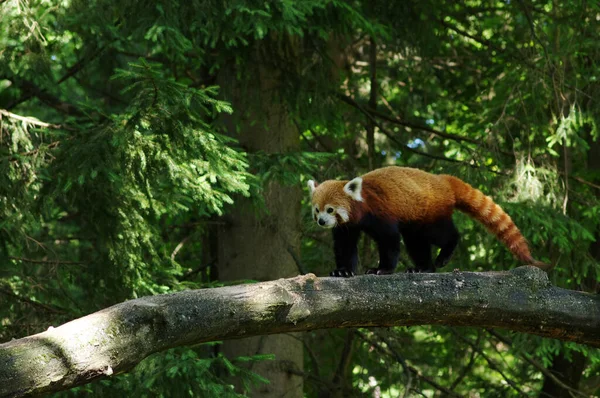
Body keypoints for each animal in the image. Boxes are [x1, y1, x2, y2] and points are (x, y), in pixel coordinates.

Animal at [310, 166, 548, 276]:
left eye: (330, 209)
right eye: (317, 210)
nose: (321, 221)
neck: (360, 207)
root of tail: (442, 179)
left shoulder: (379, 213)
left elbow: (389, 241)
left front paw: (382, 269)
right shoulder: (346, 227)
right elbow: (345, 246)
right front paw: (342, 271)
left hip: (431, 213)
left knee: (443, 235)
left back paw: (444, 254)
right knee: (416, 243)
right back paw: (423, 267)